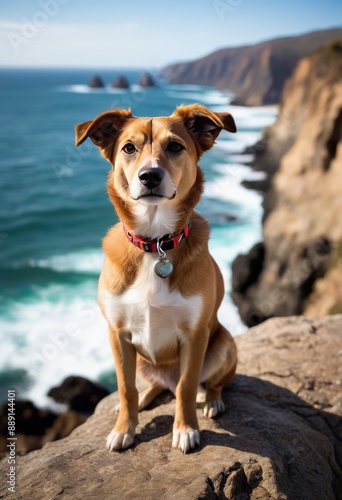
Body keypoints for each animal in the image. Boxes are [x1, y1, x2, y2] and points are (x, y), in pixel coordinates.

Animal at [74, 104, 236, 454]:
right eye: (128, 148)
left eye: (175, 146)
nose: (149, 175)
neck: (155, 241)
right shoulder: (118, 334)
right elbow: (125, 387)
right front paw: (125, 428)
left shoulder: (195, 334)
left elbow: (187, 386)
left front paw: (186, 429)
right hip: (144, 362)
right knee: (149, 388)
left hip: (224, 342)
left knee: (205, 384)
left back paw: (211, 400)